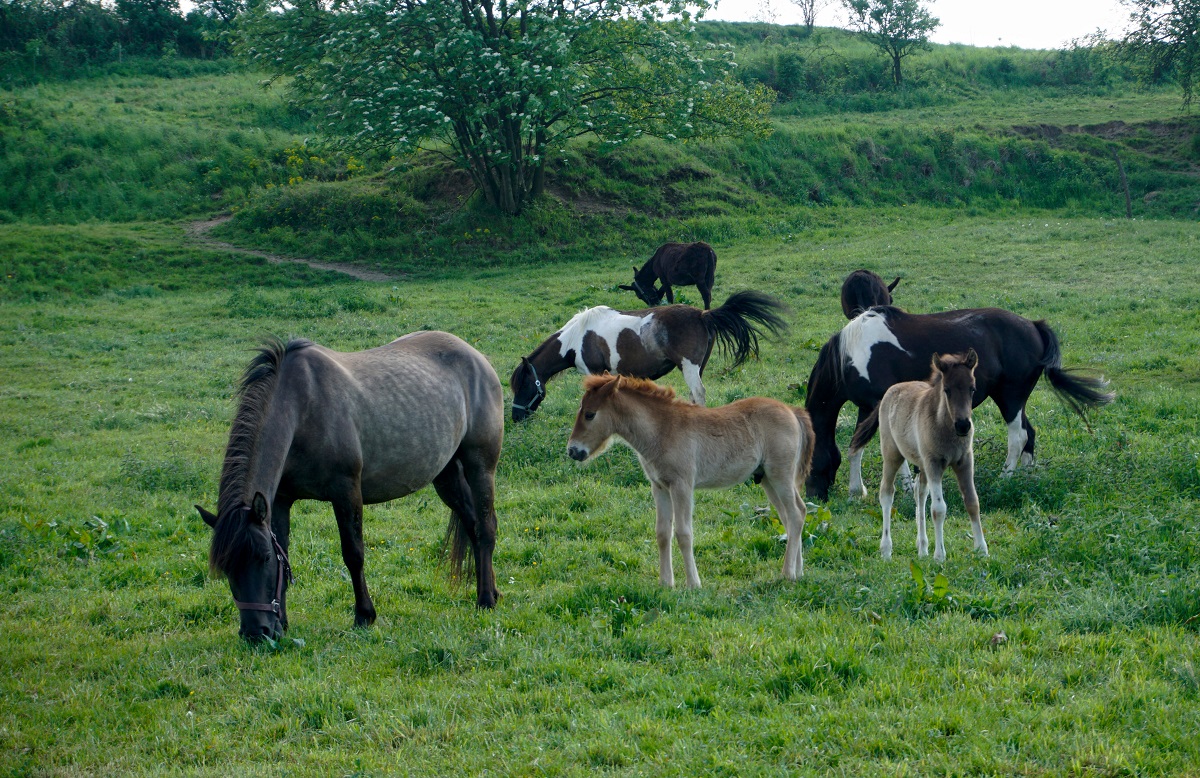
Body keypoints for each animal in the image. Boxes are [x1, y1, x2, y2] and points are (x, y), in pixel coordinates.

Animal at [195, 331, 501, 643]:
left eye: (264, 557)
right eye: (226, 568)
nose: (257, 633)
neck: (301, 407)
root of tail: (475, 356)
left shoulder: (346, 491)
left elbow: (353, 554)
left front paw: (364, 615)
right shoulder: (279, 500)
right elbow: (287, 551)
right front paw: (285, 622)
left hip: (480, 466)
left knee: (486, 527)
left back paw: (486, 600)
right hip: (446, 475)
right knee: (472, 525)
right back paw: (490, 590)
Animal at [508, 291, 782, 422]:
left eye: (523, 385)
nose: (516, 417)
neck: (577, 338)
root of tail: (703, 314)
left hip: (690, 367)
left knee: (698, 393)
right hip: (697, 367)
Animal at [806, 307, 1113, 501]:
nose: (813, 498)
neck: (852, 352)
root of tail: (1034, 325)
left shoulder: (877, 405)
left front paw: (900, 489)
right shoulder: (867, 408)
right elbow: (855, 447)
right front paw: (856, 491)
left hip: (1011, 397)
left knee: (1018, 437)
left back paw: (1005, 478)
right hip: (1012, 399)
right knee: (1030, 434)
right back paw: (1025, 477)